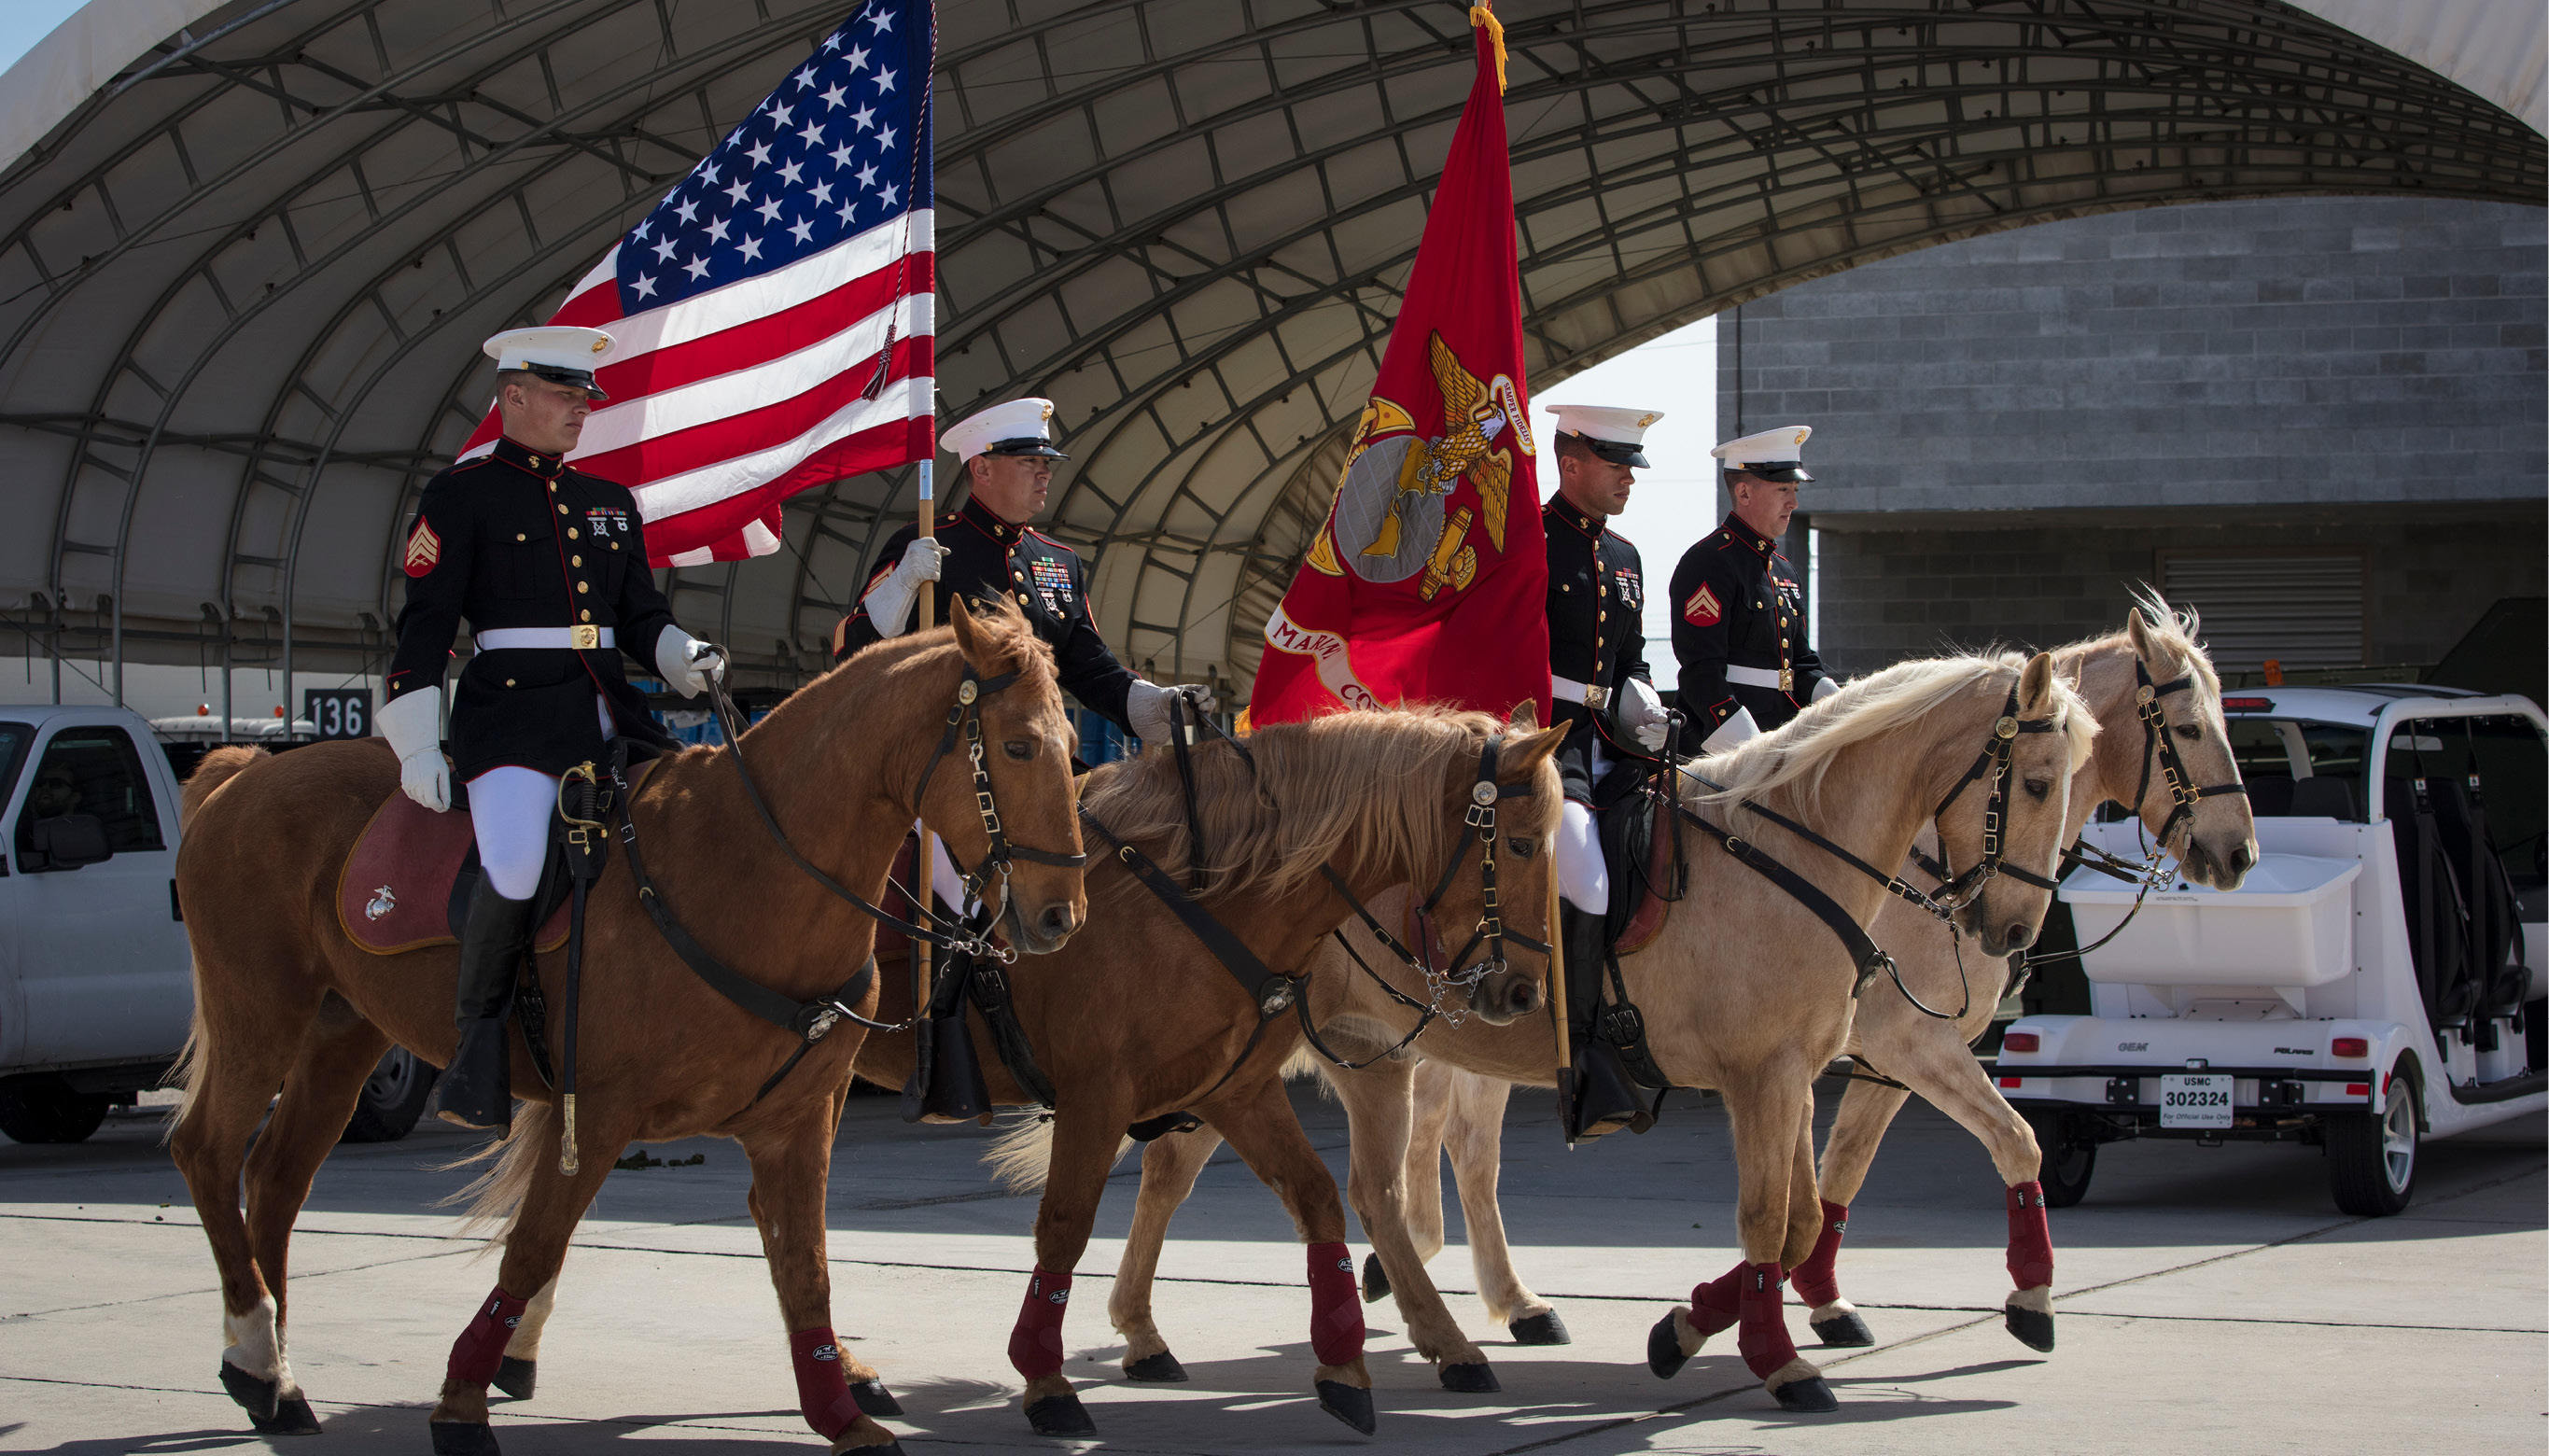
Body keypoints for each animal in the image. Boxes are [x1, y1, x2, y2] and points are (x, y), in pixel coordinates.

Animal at [166, 599, 1085, 1448]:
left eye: (1072, 741)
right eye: (1016, 747)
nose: (1059, 917)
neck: (749, 864)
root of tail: (245, 773)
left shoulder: (795, 1121)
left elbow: (806, 1266)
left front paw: (841, 1411)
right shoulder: (597, 1113)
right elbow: (534, 1245)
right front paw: (462, 1401)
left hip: (341, 1033)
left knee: (276, 1178)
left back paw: (270, 1375)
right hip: (261, 1015)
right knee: (208, 1151)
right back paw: (262, 1356)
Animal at [861, 708, 1570, 1448]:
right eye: (1521, 844)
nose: (1526, 992)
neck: (1196, 901)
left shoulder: (1233, 1087)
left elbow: (1316, 1199)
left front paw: (1343, 1370)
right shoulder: (1098, 1094)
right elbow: (1065, 1224)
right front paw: (1045, 1383)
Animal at [1106, 650, 2100, 1418]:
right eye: (2037, 783)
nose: (2015, 931)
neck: (1795, 857)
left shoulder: (1797, 1073)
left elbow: (1801, 1219)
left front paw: (1686, 1329)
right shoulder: (1766, 1075)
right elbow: (1767, 1218)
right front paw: (1777, 1362)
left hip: (1356, 1057)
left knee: (1364, 1190)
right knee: (1188, 1170)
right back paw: (1156, 1336)